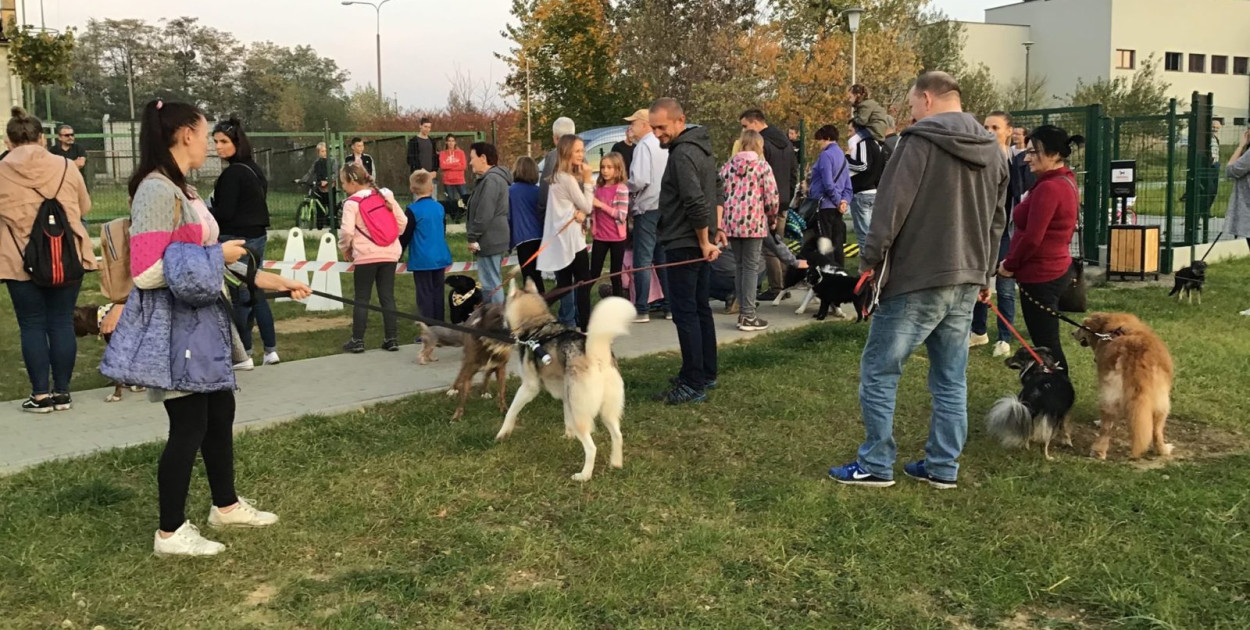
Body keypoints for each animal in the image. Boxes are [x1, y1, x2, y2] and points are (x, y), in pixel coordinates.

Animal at [495, 277, 635, 480]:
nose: (501, 324)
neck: (536, 323)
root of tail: (596, 355)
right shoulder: (565, 391)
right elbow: (565, 415)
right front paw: (568, 436)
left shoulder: (529, 387)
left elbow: (511, 411)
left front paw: (503, 433)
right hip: (607, 410)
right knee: (618, 435)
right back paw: (615, 463)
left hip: (581, 413)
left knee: (591, 448)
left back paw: (584, 475)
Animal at [1075, 312, 1170, 460]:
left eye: (1082, 327)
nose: (1072, 333)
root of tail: (1135, 354)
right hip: (1161, 398)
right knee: (1157, 429)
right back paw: (1162, 450)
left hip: (1109, 393)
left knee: (1106, 427)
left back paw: (1098, 451)